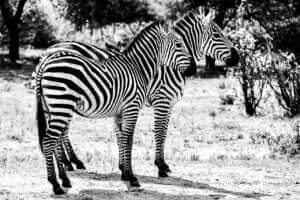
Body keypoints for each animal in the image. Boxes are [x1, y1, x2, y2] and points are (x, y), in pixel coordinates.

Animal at [35, 21, 195, 194]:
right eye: (178, 44)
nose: (193, 69)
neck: (139, 67)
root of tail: (45, 61)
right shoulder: (132, 107)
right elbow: (129, 140)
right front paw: (132, 177)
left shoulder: (120, 112)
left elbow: (122, 139)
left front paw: (125, 173)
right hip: (62, 105)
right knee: (48, 141)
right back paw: (55, 184)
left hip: (53, 108)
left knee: (56, 141)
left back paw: (64, 179)